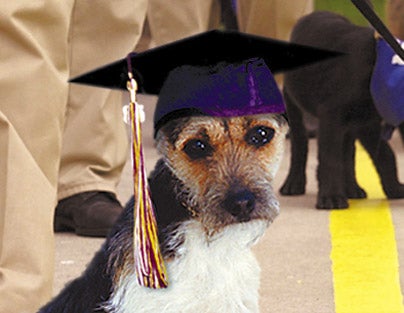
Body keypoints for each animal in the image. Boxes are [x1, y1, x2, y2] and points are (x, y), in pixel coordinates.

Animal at [278, 11, 404, 208]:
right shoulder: (332, 117)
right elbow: (331, 158)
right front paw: (331, 197)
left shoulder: (367, 123)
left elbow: (384, 155)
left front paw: (394, 188)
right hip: (294, 105)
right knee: (300, 146)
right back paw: (293, 184)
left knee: (347, 153)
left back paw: (352, 189)